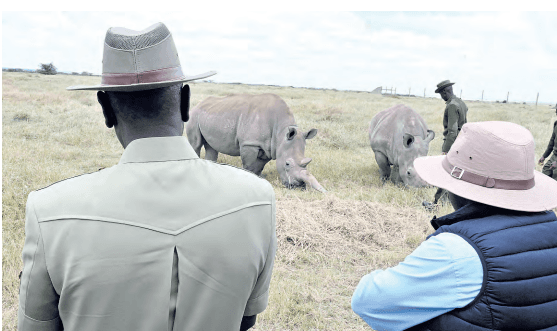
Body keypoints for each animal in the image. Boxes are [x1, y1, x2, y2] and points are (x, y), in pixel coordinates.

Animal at [187, 92, 326, 193]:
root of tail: (198, 104)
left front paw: (259, 179)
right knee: (196, 144)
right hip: (194, 115)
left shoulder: (270, 148)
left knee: (211, 147)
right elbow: (248, 165)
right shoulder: (250, 144)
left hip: (212, 114)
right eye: (287, 164)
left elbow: (259, 166)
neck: (281, 132)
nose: (299, 186)